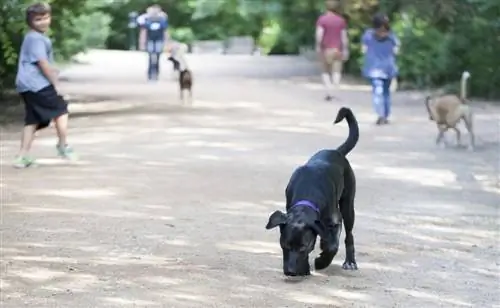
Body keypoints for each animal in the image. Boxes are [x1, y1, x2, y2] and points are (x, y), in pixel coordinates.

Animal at [266, 107, 360, 276]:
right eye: (284, 245)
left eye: (304, 247)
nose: (290, 272)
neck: (308, 194)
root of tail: (336, 152)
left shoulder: (333, 220)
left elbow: (333, 245)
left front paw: (321, 261)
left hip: (348, 205)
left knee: (348, 234)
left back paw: (350, 261)